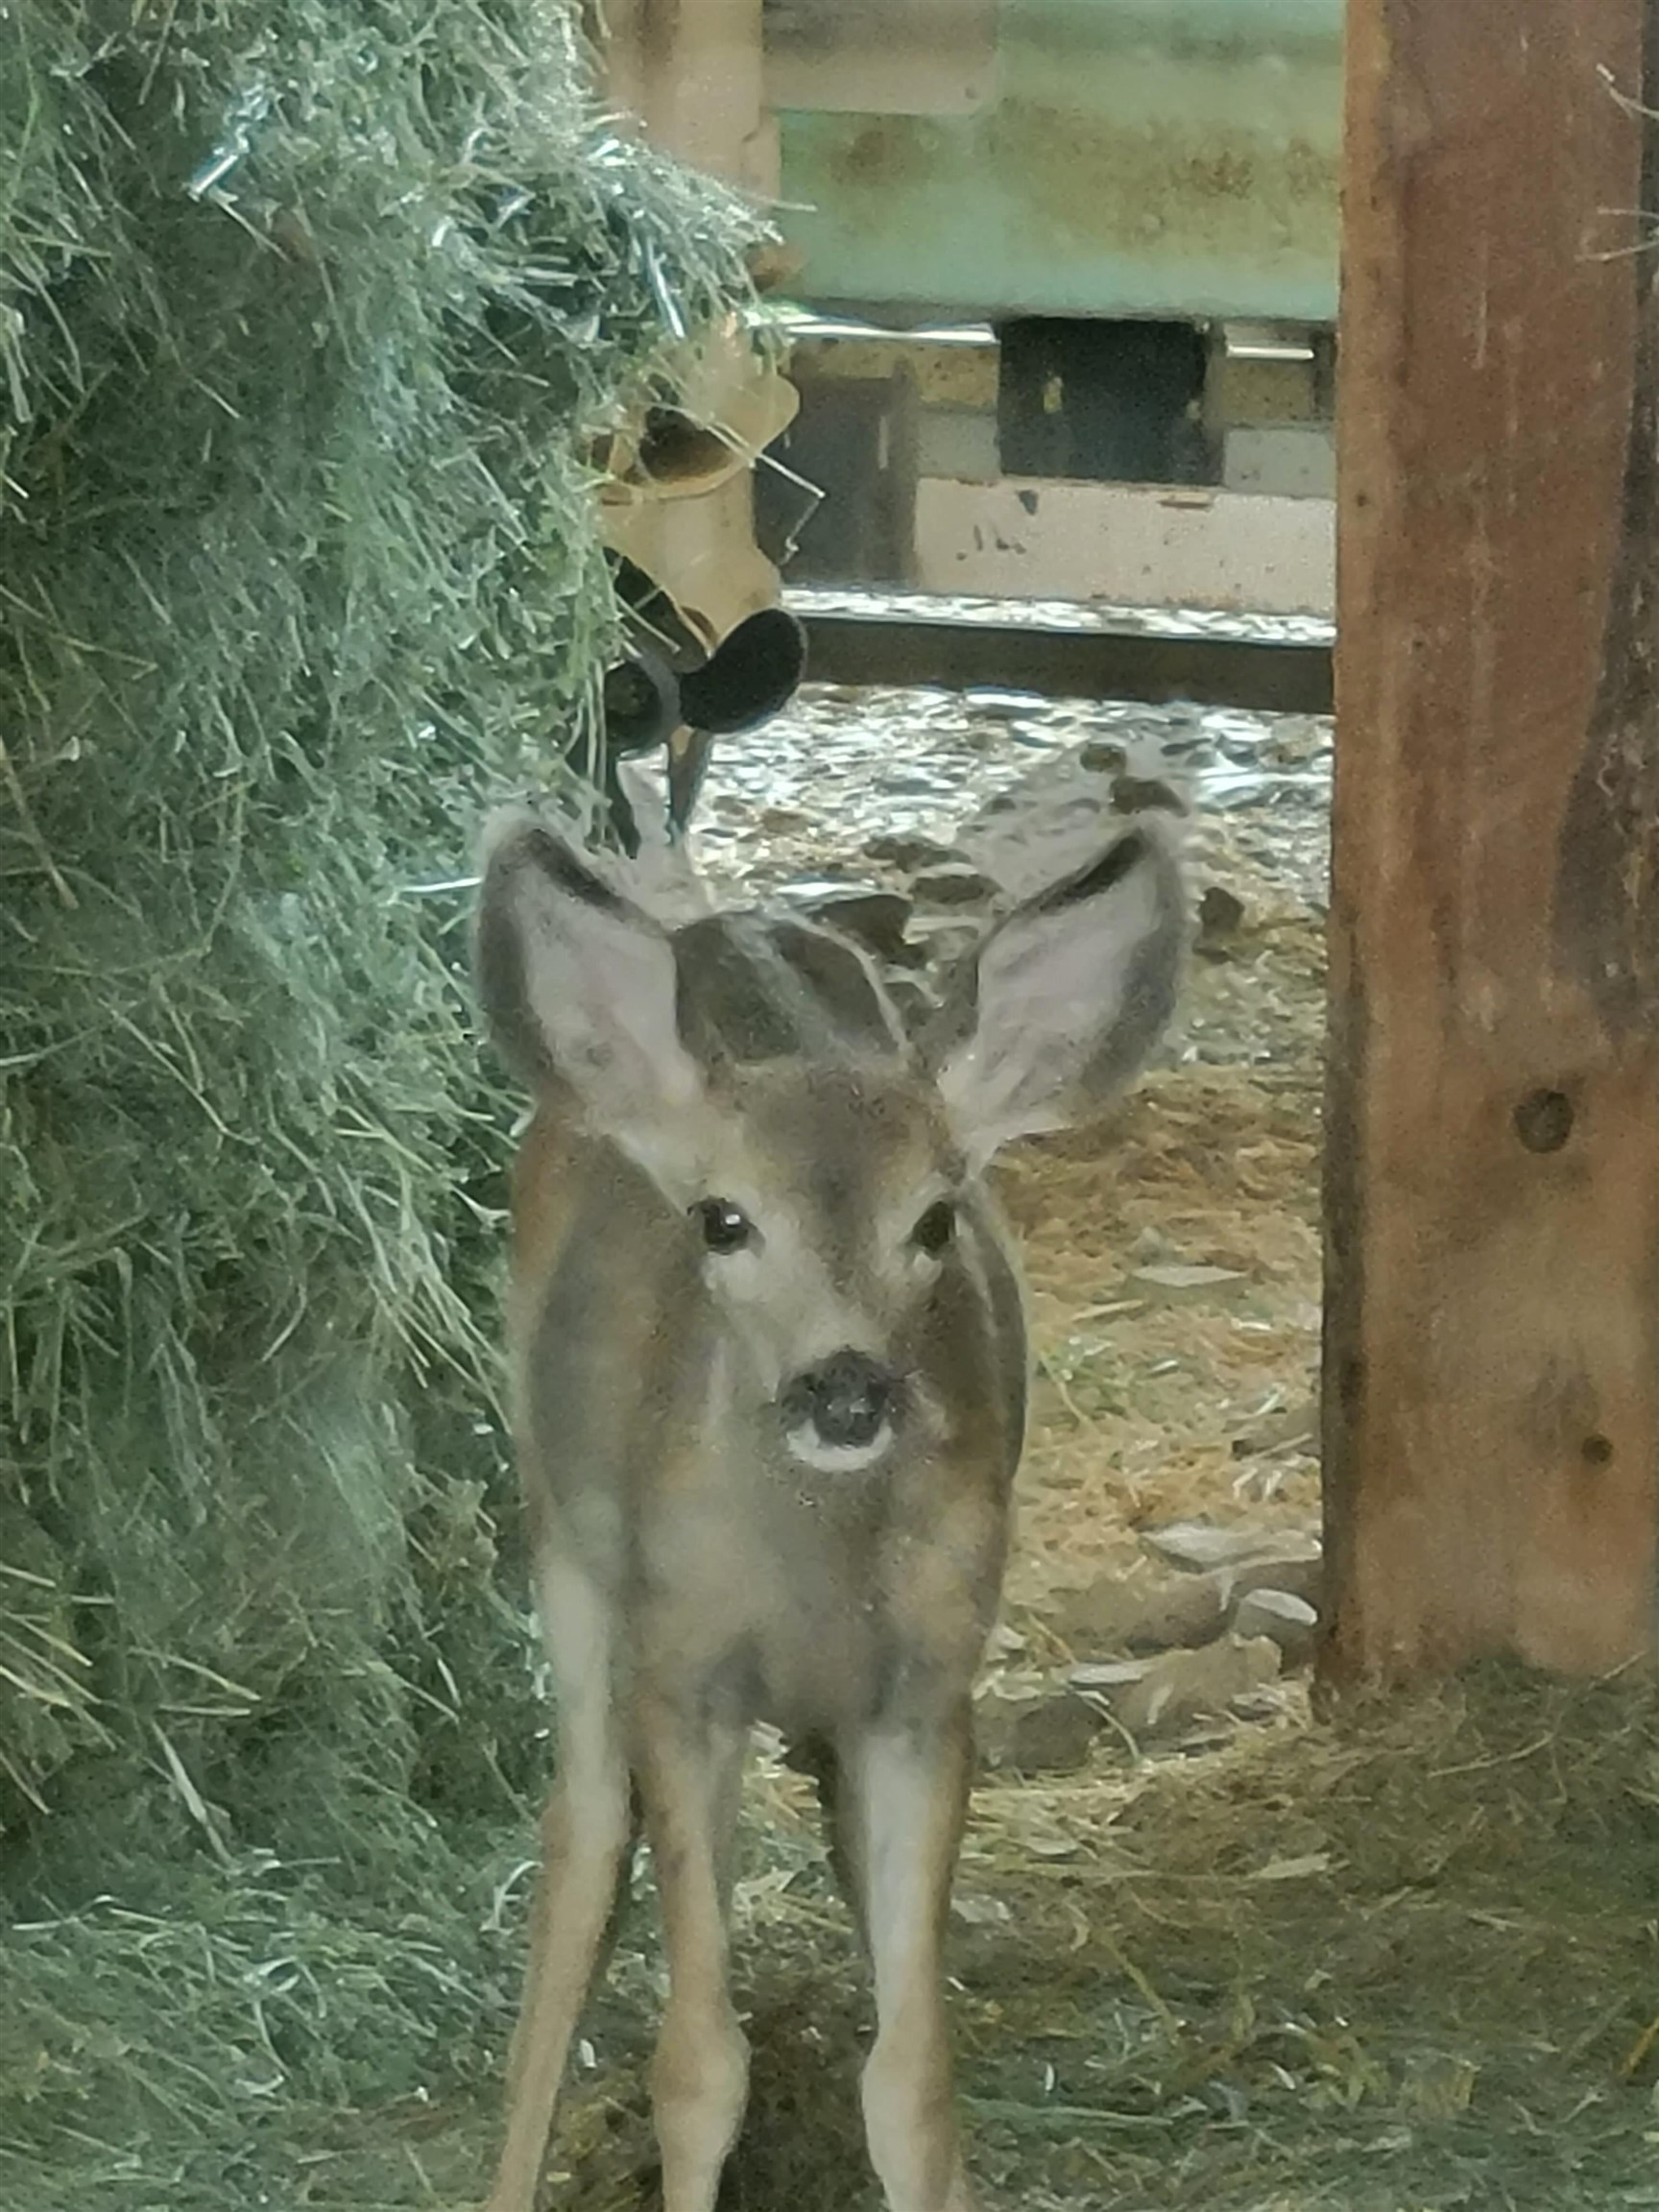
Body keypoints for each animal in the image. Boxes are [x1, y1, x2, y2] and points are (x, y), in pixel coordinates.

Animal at [473, 801, 1185, 2212]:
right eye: (723, 1219)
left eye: (936, 1220)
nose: (845, 1388)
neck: (810, 1583)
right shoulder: (682, 1676)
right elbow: (698, 2066)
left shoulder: (926, 1691)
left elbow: (910, 2079)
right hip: (564, 1550)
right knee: (578, 1840)